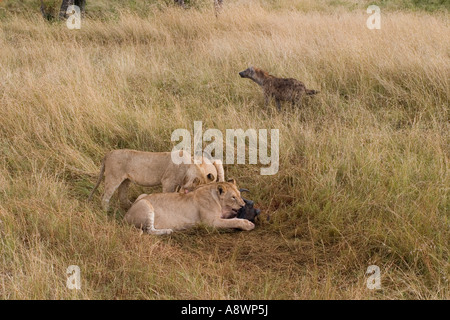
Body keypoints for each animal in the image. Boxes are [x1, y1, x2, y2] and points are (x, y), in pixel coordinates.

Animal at [125, 180, 255, 235]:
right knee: (149, 231)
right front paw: (248, 224)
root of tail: (126, 215)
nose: (243, 205)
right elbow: (233, 221)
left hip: (142, 195)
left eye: (239, 195)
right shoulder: (210, 222)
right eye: (233, 197)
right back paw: (168, 230)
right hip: (145, 204)